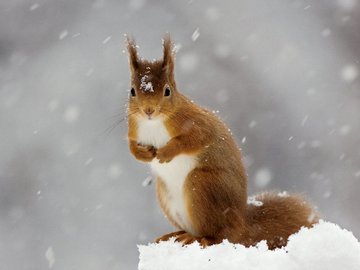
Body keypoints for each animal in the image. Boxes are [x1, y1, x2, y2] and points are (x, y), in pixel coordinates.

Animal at [124, 34, 318, 250]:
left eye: (167, 91)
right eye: (132, 91)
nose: (148, 111)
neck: (154, 123)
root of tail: (242, 224)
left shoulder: (197, 124)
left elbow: (193, 140)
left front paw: (167, 152)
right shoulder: (134, 129)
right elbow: (131, 146)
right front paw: (143, 154)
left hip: (201, 185)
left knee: (218, 235)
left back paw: (197, 238)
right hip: (165, 194)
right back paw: (175, 234)